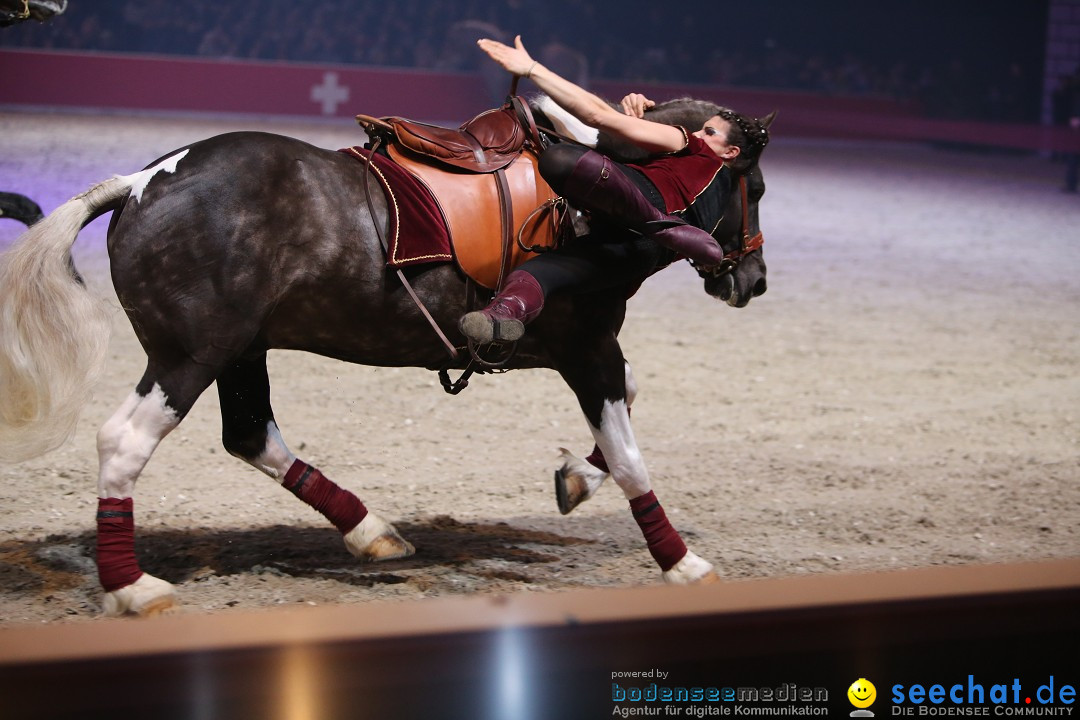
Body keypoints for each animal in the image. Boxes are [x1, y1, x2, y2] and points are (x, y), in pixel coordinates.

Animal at [0, 95, 768, 617]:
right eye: (754, 189)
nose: (751, 281)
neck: (613, 199)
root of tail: (139, 182)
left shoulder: (571, 351)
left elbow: (627, 409)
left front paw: (578, 479)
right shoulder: (587, 350)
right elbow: (632, 454)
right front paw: (682, 563)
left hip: (241, 349)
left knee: (250, 435)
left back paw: (369, 531)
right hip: (189, 355)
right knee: (124, 441)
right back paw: (131, 587)